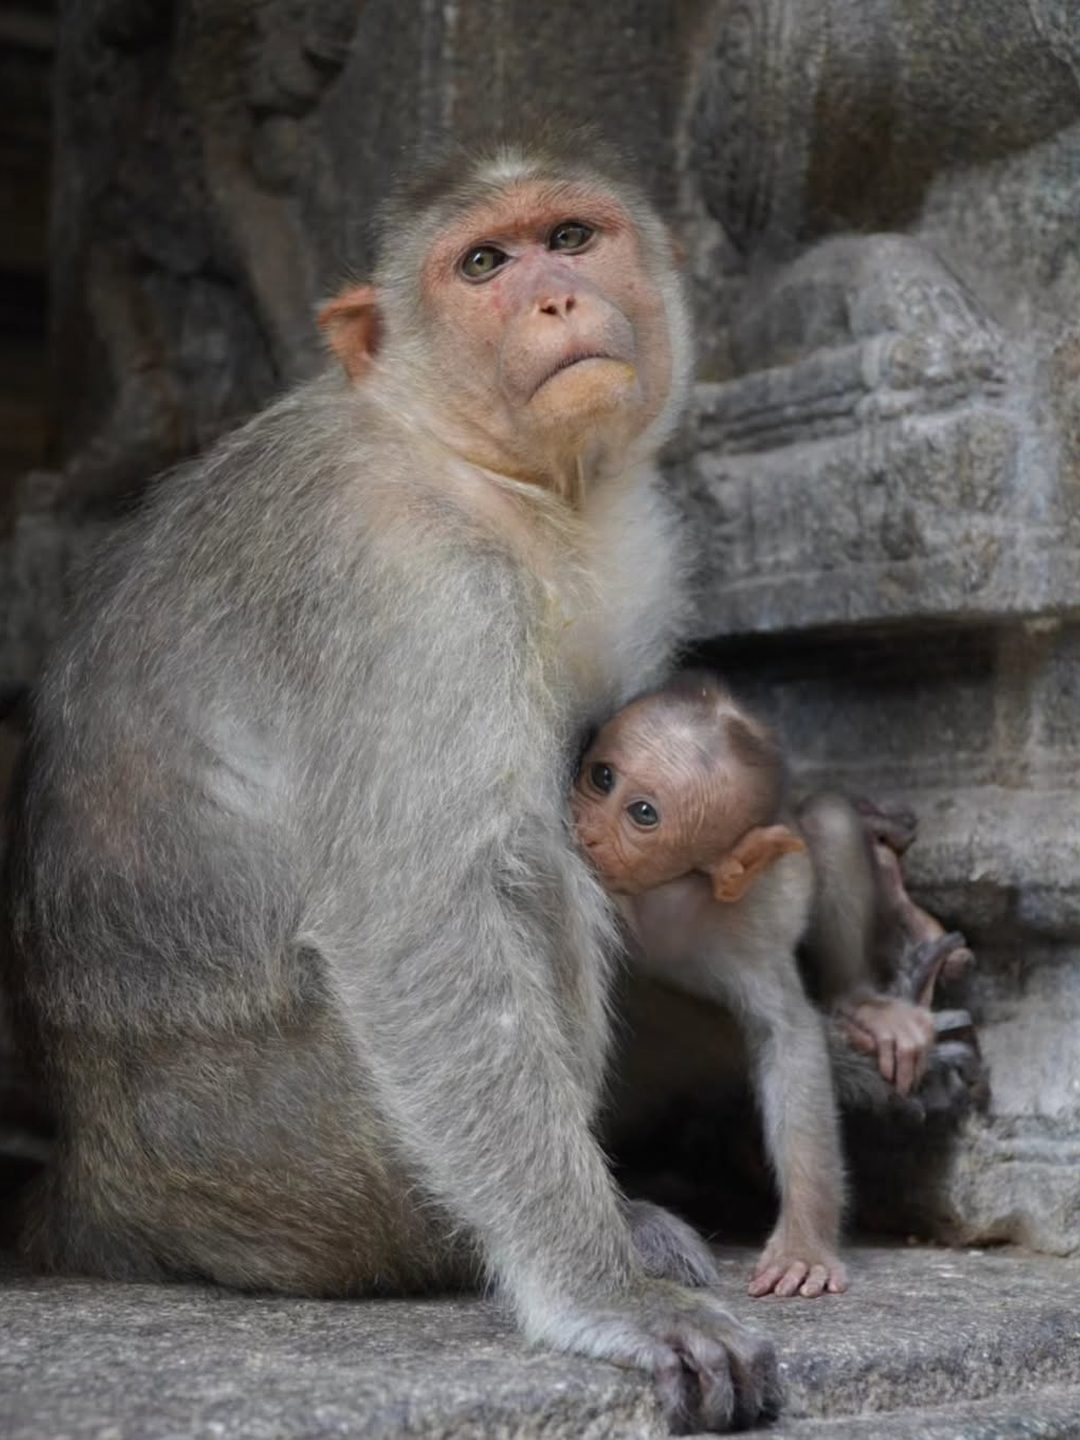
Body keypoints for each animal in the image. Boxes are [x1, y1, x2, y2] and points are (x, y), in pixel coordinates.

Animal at [1, 134, 778, 1435]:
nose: (556, 299)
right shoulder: (413, 590)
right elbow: (420, 923)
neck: (480, 469)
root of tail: (100, 1179)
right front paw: (604, 1294)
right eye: (483, 265)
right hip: (286, 1166)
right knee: (528, 879)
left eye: (572, 237)